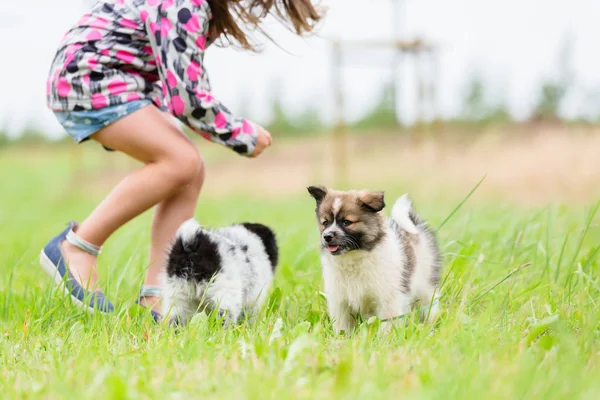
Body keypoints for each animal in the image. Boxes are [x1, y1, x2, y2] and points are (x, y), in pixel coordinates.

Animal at [310, 188, 440, 334]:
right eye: (325, 223)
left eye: (346, 222)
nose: (327, 236)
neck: (354, 257)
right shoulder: (340, 302)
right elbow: (343, 326)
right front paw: (342, 338)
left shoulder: (388, 299)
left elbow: (388, 324)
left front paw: (384, 338)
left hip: (425, 287)